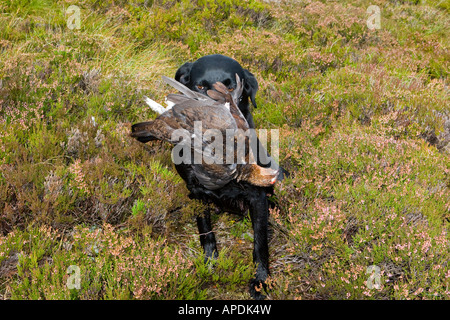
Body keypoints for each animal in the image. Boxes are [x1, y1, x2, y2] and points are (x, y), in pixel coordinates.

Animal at [175, 53, 274, 298]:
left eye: (232, 88)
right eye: (200, 86)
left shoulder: (257, 196)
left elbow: (260, 242)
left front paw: (261, 280)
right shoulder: (197, 192)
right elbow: (205, 230)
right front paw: (210, 263)